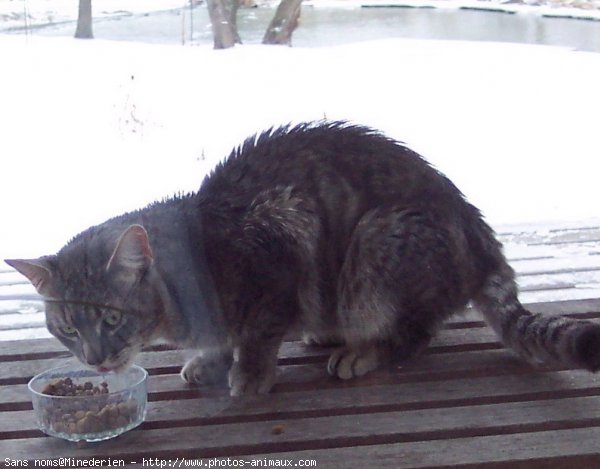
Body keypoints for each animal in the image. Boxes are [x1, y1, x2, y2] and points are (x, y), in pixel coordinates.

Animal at [4, 121, 600, 394]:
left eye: (110, 319)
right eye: (66, 328)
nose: (95, 360)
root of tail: (477, 230)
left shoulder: (282, 242)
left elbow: (260, 334)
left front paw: (249, 374)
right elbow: (223, 338)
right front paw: (210, 358)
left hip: (374, 247)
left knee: (416, 332)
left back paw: (362, 351)